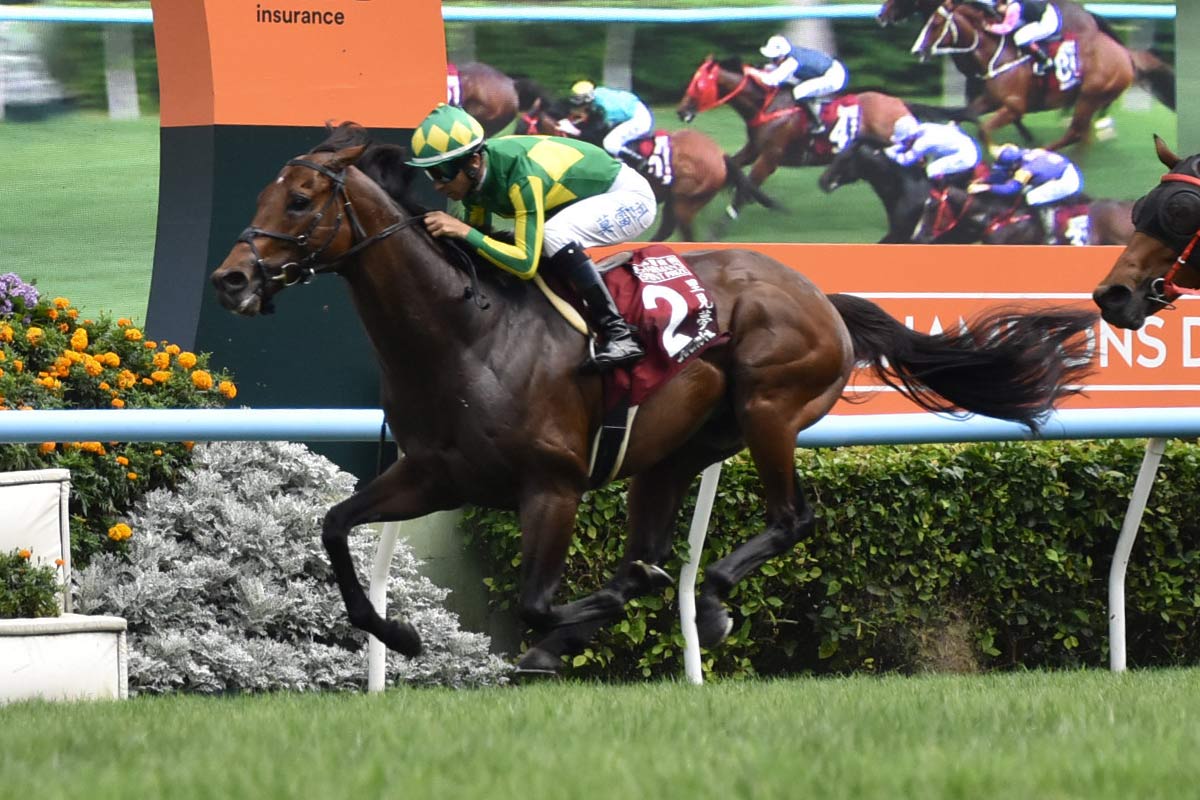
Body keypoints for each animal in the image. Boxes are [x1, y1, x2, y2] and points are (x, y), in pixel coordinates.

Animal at [209, 122, 1097, 676]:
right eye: (262, 195)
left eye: (298, 201)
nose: (231, 279)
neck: (467, 333)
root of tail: (818, 293)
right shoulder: (431, 476)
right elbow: (334, 527)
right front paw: (399, 631)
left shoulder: (553, 488)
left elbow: (537, 603)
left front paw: (576, 621)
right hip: (674, 452)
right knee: (659, 540)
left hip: (771, 408)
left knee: (791, 519)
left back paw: (711, 604)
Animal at [676, 55, 975, 219]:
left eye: (699, 85)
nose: (681, 111)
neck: (767, 105)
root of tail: (900, 104)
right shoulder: (754, 148)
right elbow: (732, 167)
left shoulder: (771, 157)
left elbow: (745, 188)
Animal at [910, 1, 1175, 151]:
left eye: (936, 24)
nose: (917, 50)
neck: (997, 54)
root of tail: (1125, 53)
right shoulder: (990, 99)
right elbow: (967, 114)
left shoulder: (1014, 106)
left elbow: (984, 128)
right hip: (1088, 99)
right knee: (1081, 134)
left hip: (1090, 95)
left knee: (1076, 132)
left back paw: (1045, 151)